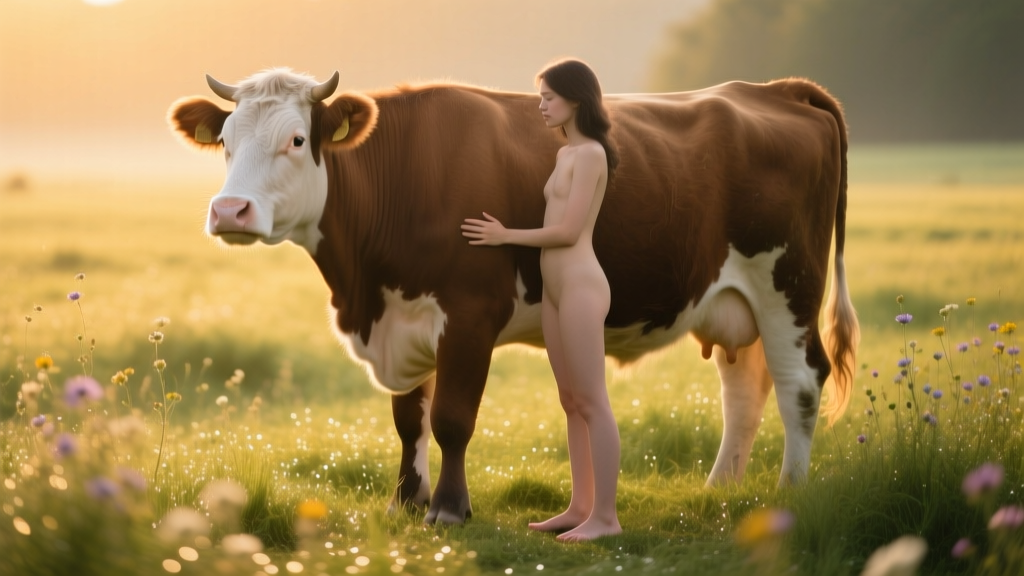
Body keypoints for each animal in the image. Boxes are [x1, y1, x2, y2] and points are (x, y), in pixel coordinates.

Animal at [168, 68, 859, 525]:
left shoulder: (471, 315)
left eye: (296, 140)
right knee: (744, 387)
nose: (230, 211)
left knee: (799, 381)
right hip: (732, 296)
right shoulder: (402, 323)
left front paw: (449, 509)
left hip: (789, 285)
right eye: (225, 142)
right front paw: (405, 500)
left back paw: (789, 490)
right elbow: (407, 419)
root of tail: (771, 89)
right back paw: (721, 490)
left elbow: (451, 418)